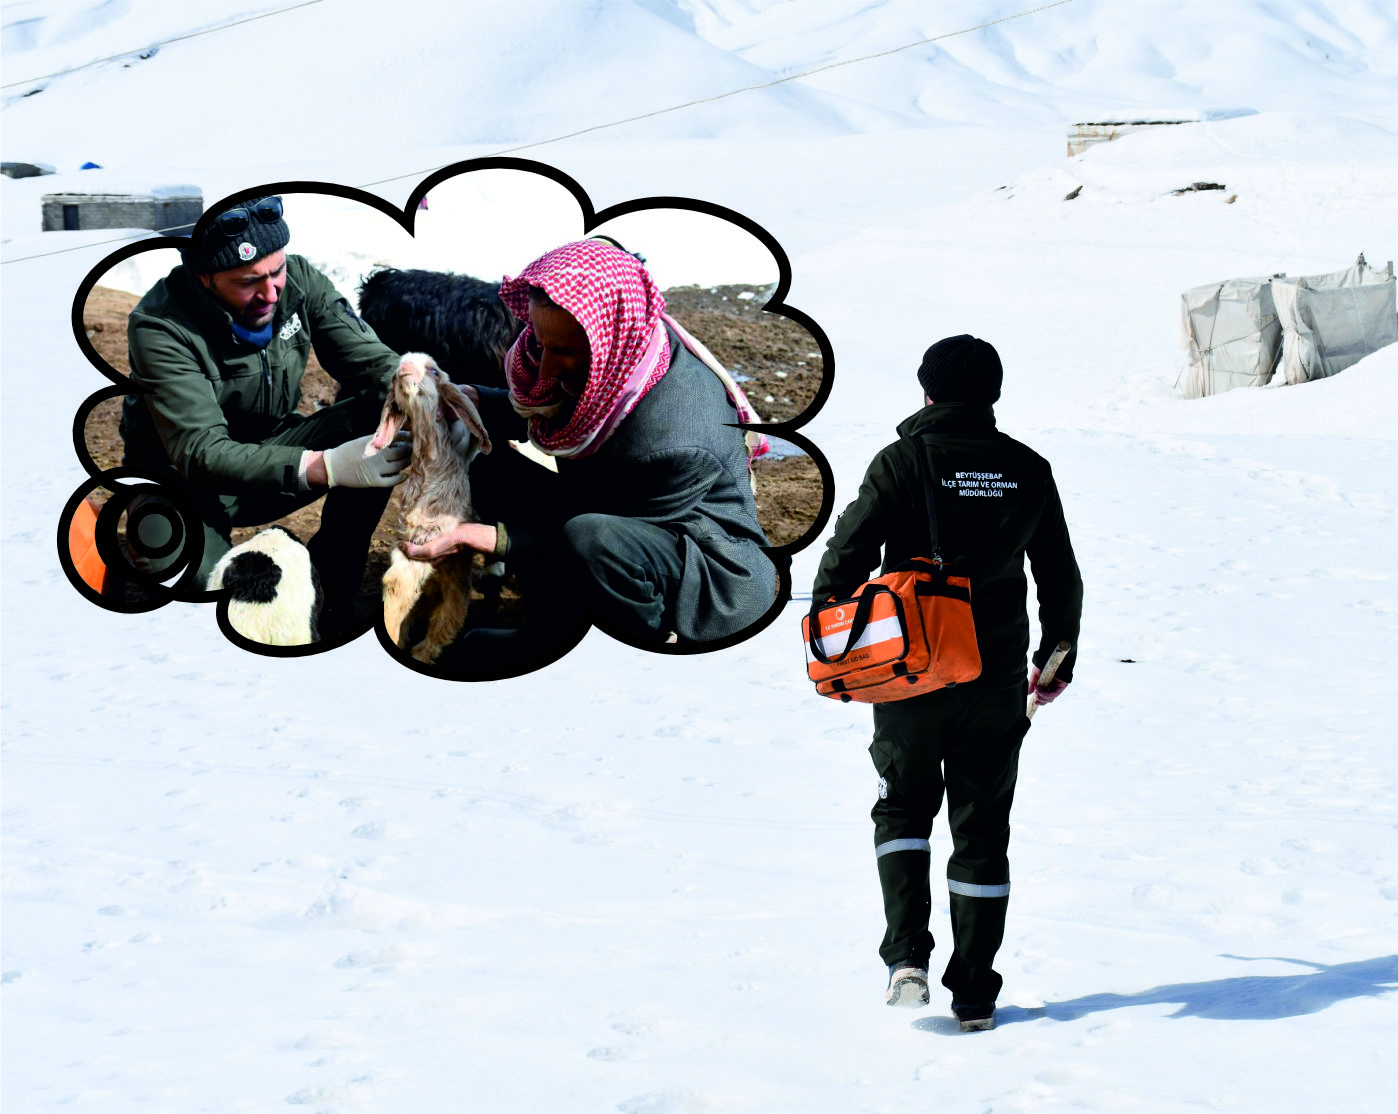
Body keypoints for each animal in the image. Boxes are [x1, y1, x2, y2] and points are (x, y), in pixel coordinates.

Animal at [377, 352, 497, 659]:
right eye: (395, 375)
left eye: (433, 371)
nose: (403, 369)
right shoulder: (404, 540)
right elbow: (396, 587)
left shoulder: (428, 540)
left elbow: (399, 584)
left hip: (456, 588)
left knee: (445, 623)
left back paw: (421, 653)